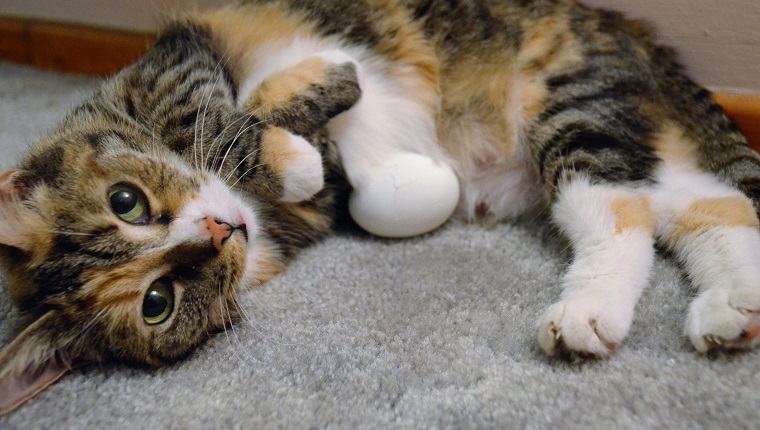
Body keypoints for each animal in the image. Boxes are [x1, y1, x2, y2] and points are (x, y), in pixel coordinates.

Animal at [1, 0, 760, 414]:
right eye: (157, 303)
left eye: (126, 201)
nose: (221, 227)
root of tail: (623, 28)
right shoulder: (322, 209)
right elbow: (312, 159)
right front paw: (303, 143)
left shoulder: (175, 64)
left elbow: (222, 113)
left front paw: (317, 95)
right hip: (616, 132)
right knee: (700, 208)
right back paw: (725, 310)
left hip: (570, 99)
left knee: (629, 210)